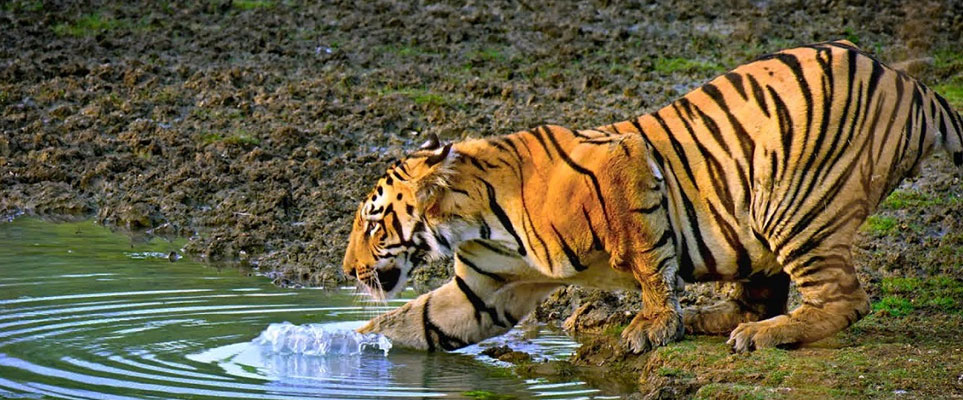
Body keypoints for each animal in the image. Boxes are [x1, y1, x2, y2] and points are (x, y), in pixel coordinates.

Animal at [341, 40, 963, 354]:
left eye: (373, 224)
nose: (347, 272)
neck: (473, 222)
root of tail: (913, 84)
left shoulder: (624, 161)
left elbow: (647, 258)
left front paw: (654, 326)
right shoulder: (485, 290)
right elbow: (415, 320)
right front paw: (347, 346)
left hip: (790, 203)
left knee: (845, 299)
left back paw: (765, 336)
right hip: (760, 227)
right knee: (762, 292)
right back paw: (718, 320)